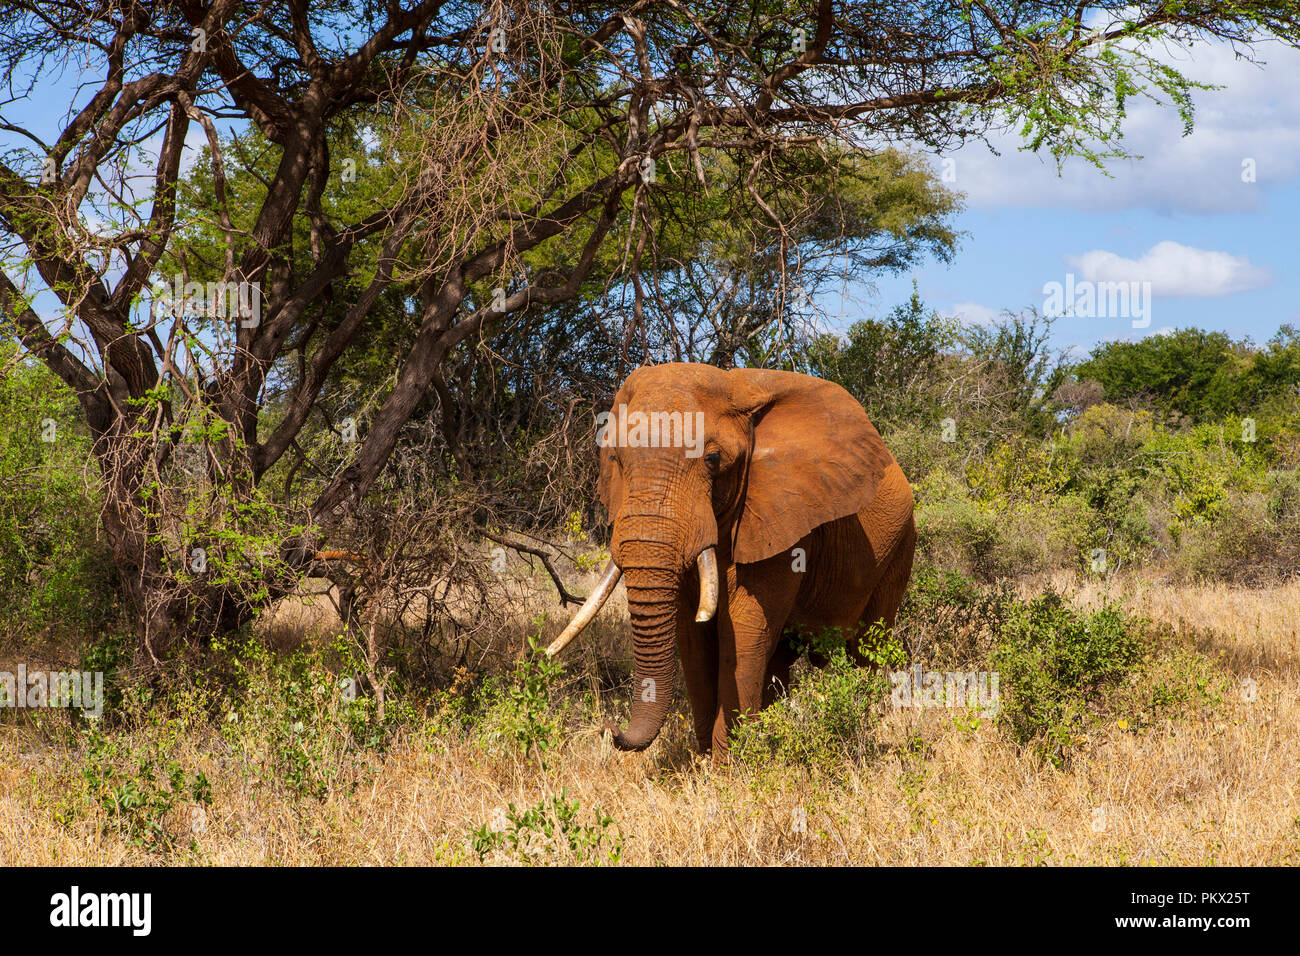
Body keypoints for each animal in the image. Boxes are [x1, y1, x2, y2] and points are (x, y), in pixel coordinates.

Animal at [546, 361, 915, 759]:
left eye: (712, 460)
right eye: (615, 459)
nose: (609, 729)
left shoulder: (782, 522)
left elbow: (742, 629)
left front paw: (729, 765)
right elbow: (692, 635)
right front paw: (706, 761)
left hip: (900, 547)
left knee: (868, 646)